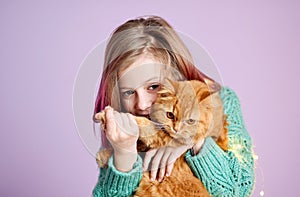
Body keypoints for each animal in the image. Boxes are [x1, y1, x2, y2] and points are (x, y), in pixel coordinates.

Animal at [94, 79, 227, 196]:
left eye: (190, 121)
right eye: (170, 115)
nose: (176, 129)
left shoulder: (166, 138)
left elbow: (142, 124)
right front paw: (104, 156)